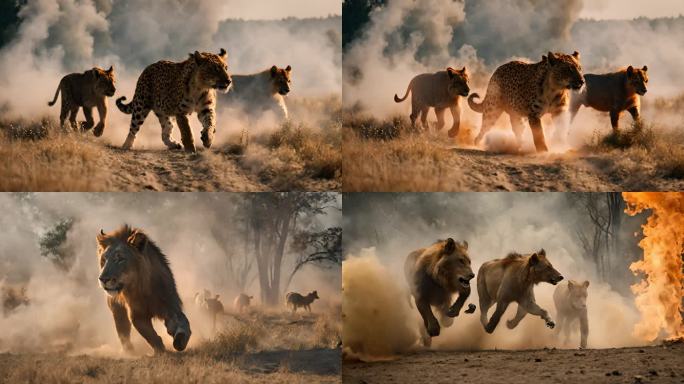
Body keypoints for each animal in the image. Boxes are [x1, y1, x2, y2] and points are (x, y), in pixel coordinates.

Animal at [96, 225, 190, 354]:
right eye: (104, 260)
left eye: (120, 259)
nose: (103, 279)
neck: (143, 289)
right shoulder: (137, 315)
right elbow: (150, 335)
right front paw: (160, 350)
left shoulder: (170, 305)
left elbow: (182, 323)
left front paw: (180, 341)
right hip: (116, 308)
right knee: (123, 330)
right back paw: (129, 351)